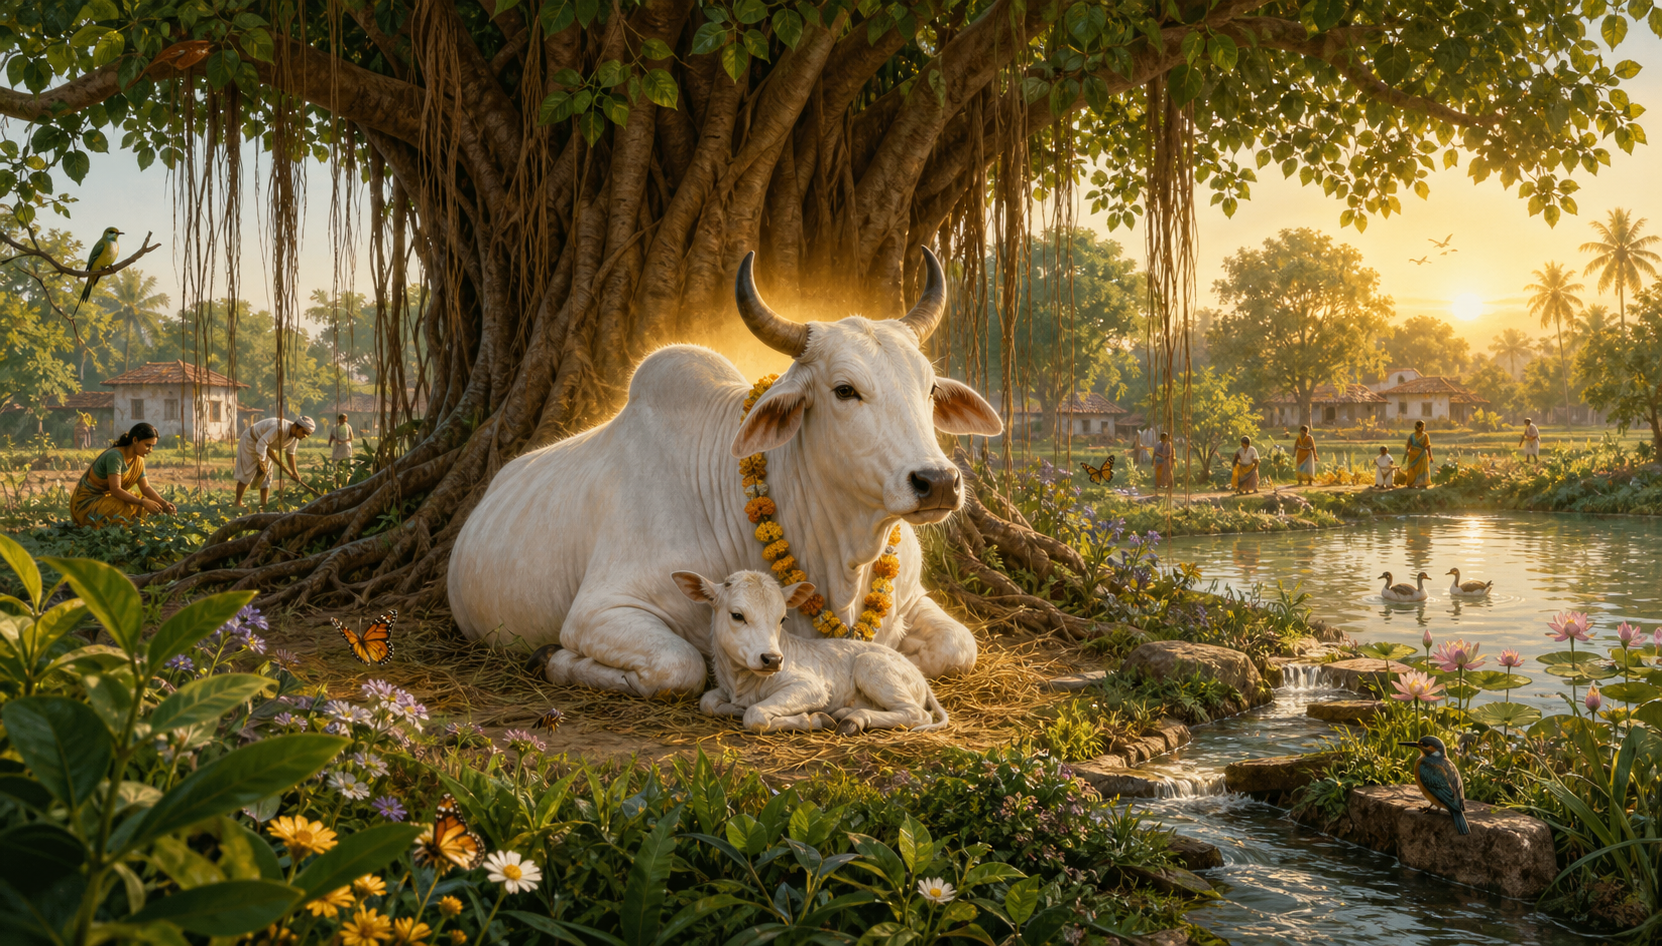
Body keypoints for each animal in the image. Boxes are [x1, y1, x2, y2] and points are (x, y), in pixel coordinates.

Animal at [447, 248, 1003, 698]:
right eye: (844, 390)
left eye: (930, 388)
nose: (938, 482)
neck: (842, 563)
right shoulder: (599, 611)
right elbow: (680, 667)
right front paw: (555, 660)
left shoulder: (913, 598)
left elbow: (960, 646)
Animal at [673, 570, 949, 734]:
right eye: (737, 615)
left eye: (783, 619)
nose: (772, 659)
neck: (740, 683)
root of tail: (920, 676)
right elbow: (707, 702)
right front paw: (735, 708)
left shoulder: (813, 687)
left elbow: (755, 715)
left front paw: (811, 719)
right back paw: (845, 713)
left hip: (871, 665)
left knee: (917, 713)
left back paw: (853, 720)